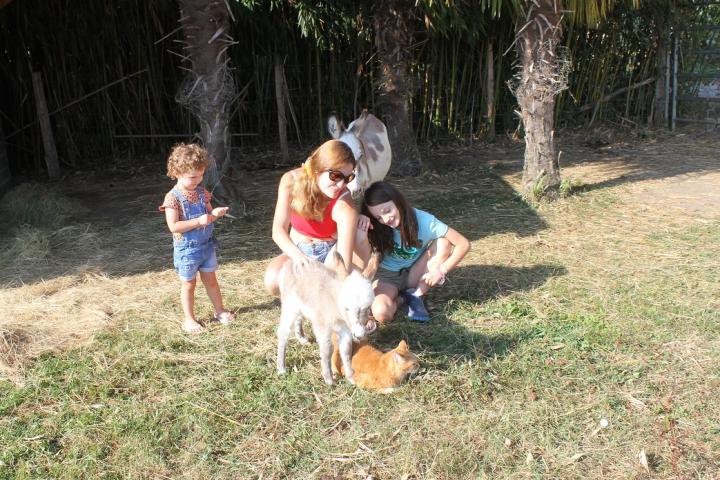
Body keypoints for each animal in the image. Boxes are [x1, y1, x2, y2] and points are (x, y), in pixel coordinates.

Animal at [276, 253, 376, 384]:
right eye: (347, 308)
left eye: (368, 307)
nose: (359, 335)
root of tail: (289, 263)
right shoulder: (322, 326)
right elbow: (327, 350)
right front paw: (329, 379)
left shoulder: (345, 329)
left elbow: (346, 350)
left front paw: (350, 377)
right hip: (289, 306)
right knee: (283, 333)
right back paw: (281, 368)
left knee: (298, 319)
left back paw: (302, 338)